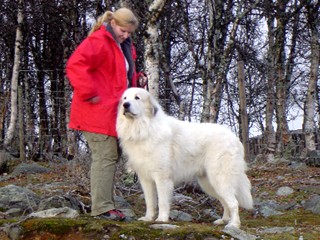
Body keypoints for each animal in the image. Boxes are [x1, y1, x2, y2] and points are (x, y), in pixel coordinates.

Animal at [116, 87, 254, 228]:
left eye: (137, 97)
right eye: (125, 98)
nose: (125, 105)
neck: (143, 128)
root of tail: (234, 137)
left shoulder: (162, 177)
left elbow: (162, 202)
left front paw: (162, 219)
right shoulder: (145, 179)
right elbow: (150, 202)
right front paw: (148, 218)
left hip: (220, 179)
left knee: (234, 203)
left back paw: (234, 225)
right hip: (209, 183)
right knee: (225, 202)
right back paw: (224, 220)